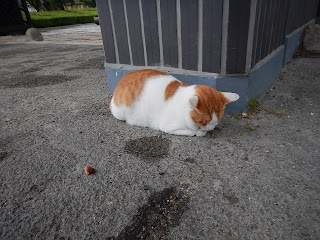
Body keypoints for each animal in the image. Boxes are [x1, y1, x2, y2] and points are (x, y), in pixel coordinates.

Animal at [109, 69, 239, 137]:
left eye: (219, 119)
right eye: (204, 121)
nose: (211, 128)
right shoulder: (168, 126)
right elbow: (193, 132)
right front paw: (200, 132)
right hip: (120, 112)